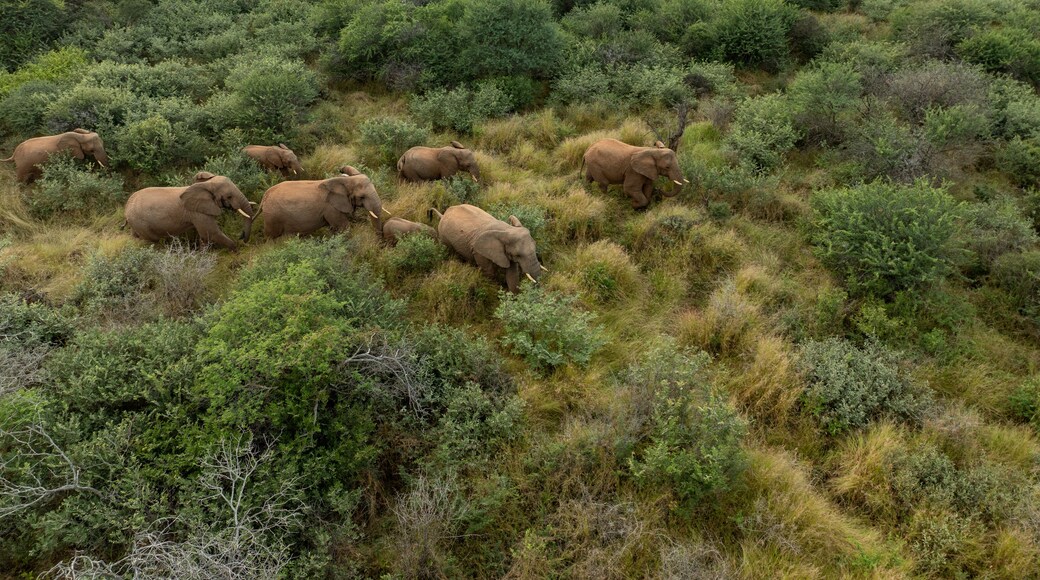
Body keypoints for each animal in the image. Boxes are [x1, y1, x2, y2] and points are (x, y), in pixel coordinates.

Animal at [124, 172, 256, 250]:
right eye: (229, 196)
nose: (241, 236)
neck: (206, 184)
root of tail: (126, 208)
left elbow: (205, 236)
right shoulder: (197, 212)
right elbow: (211, 233)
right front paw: (236, 250)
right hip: (141, 224)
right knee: (151, 241)